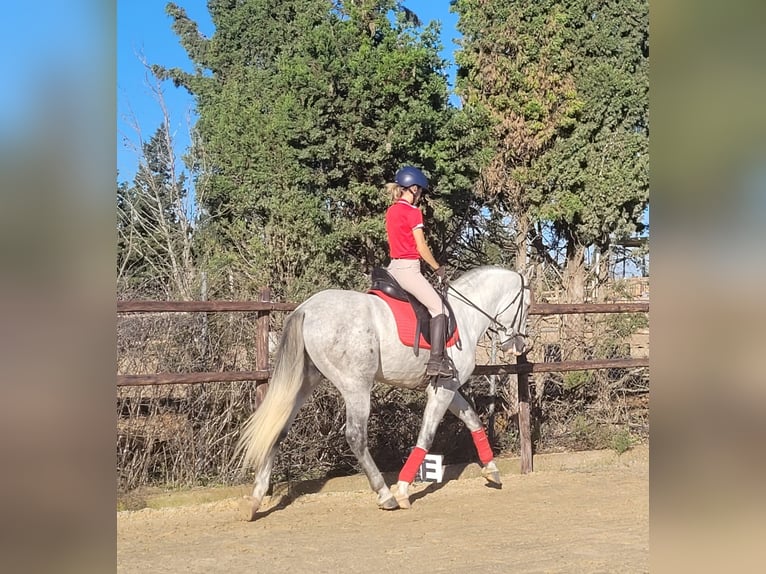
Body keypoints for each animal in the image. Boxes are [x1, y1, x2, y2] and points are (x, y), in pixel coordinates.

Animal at [237, 268, 532, 520]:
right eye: (527, 306)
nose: (518, 345)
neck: (466, 314)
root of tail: (306, 309)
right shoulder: (443, 388)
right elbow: (426, 436)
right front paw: (402, 489)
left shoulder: (448, 386)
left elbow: (472, 419)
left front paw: (492, 470)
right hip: (356, 385)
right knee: (355, 436)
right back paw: (385, 494)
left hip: (305, 381)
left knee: (278, 429)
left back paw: (255, 500)